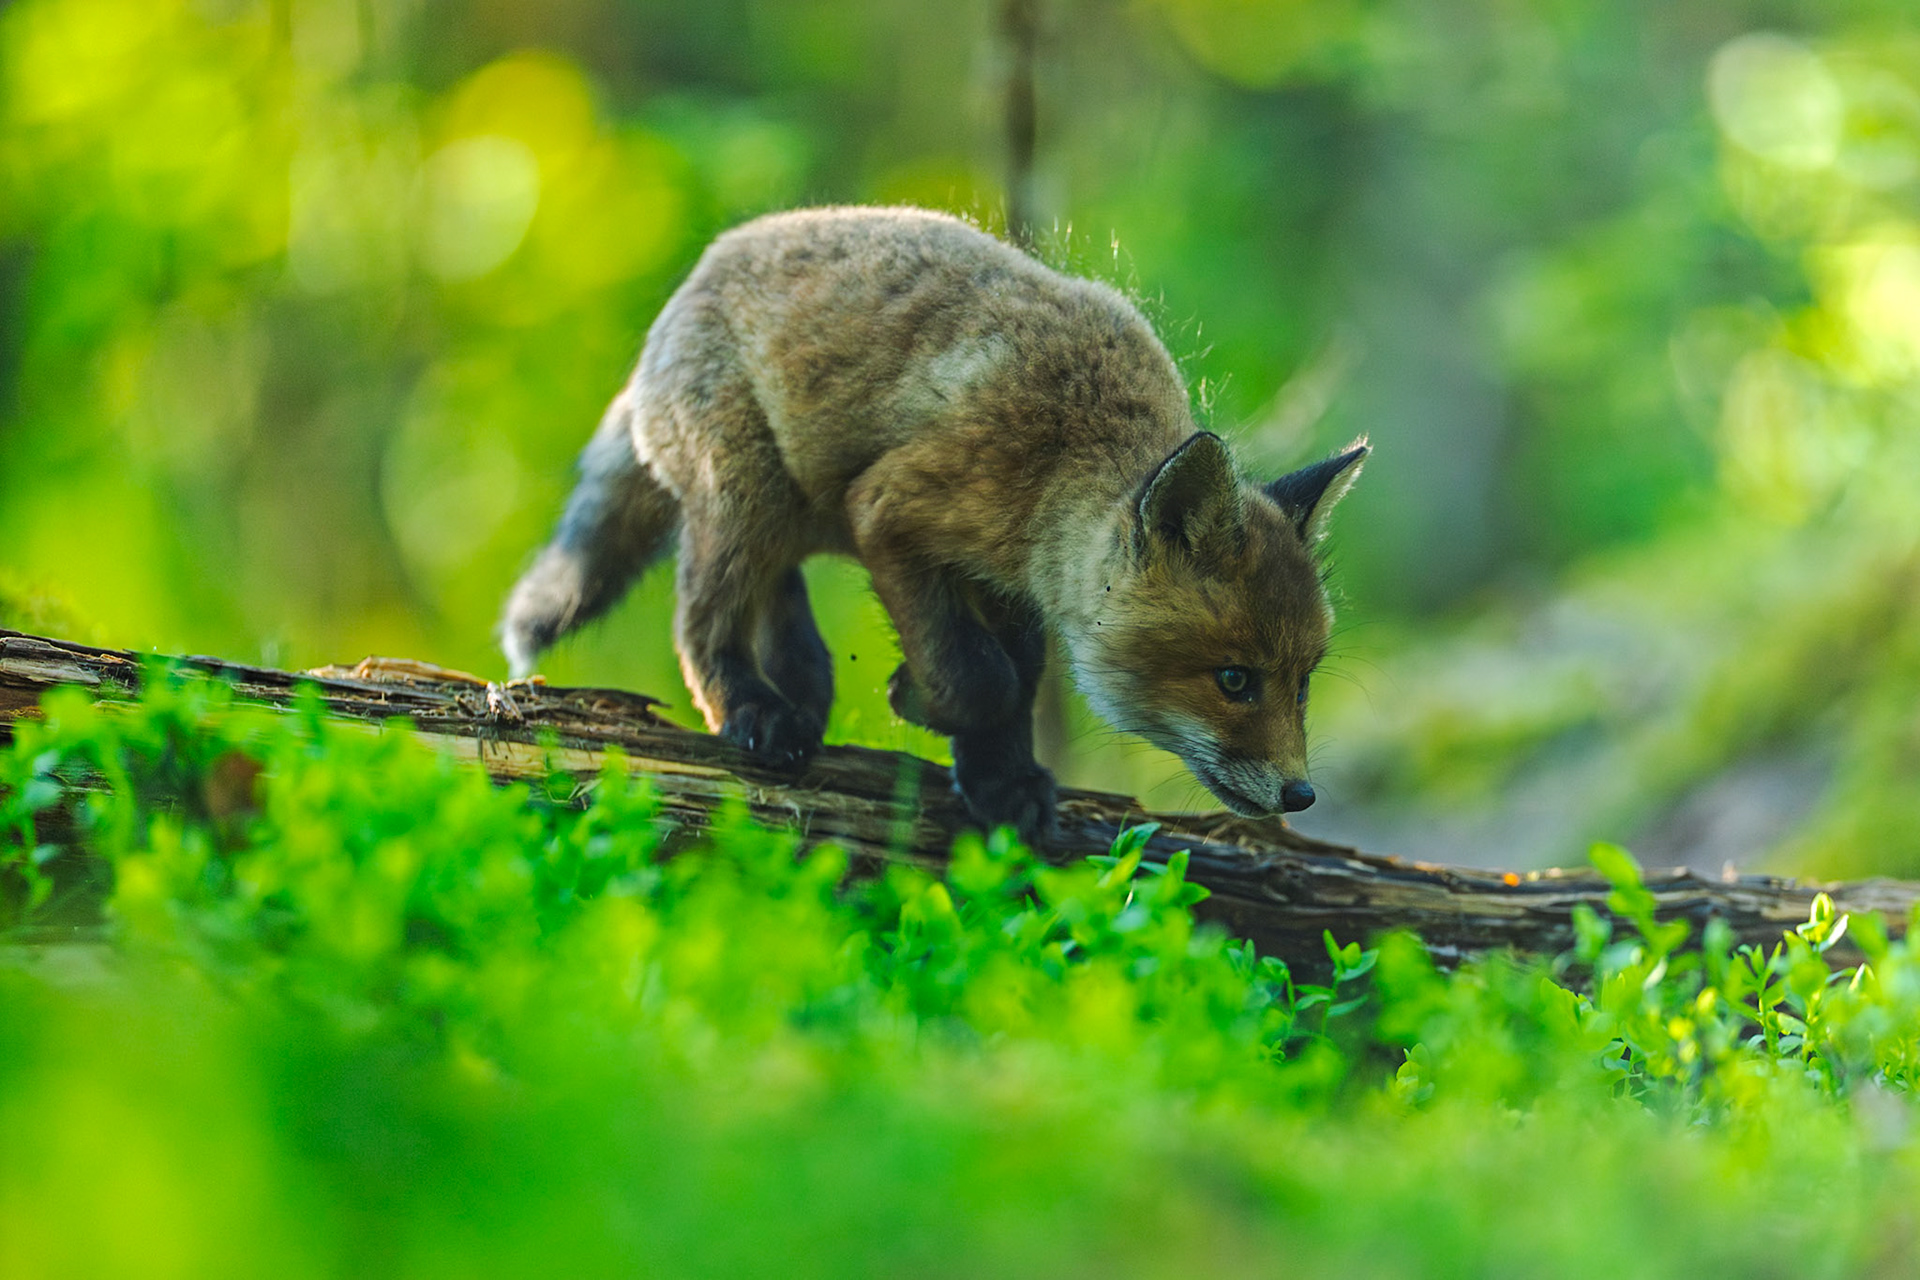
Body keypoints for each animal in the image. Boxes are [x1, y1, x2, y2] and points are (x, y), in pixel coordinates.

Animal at [500, 205, 1367, 838]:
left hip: (788, 511)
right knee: (702, 622)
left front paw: (1000, 780)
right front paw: (918, 700)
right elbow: (981, 678)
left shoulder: (1010, 581)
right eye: (1234, 679)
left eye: (1303, 683)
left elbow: (1017, 680)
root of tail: (697, 274)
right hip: (743, 503)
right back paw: (751, 709)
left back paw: (803, 693)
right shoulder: (892, 513)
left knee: (777, 600)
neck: (1062, 459)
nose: (1300, 796)